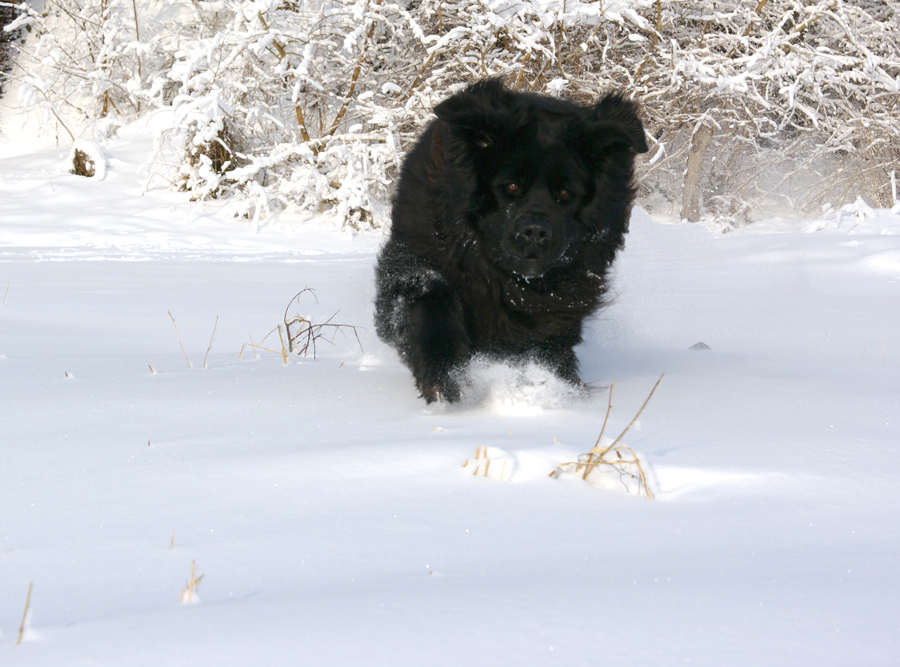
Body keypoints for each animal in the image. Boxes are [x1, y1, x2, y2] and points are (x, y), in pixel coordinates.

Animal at [372, 78, 648, 402]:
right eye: (512, 186)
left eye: (564, 193)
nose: (535, 232)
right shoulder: (412, 261)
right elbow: (431, 297)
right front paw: (444, 379)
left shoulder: (559, 308)